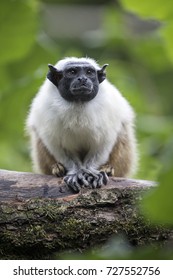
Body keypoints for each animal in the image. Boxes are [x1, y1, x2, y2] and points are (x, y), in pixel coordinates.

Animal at [26, 57, 137, 192]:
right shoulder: (46, 112)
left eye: (89, 72)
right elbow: (58, 147)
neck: (79, 103)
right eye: (72, 72)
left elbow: (102, 145)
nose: (83, 79)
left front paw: (91, 172)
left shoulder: (108, 112)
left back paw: (108, 168)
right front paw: (76, 172)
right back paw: (57, 168)